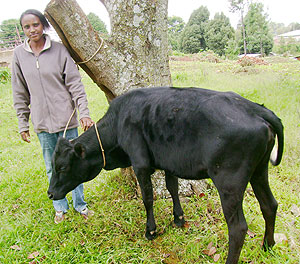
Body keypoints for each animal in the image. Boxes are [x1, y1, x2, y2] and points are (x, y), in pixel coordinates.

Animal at [47, 87, 284, 264]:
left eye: (63, 167)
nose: (50, 193)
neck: (118, 123)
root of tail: (254, 108)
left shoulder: (140, 164)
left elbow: (148, 198)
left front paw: (150, 230)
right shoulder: (170, 162)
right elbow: (172, 188)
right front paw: (178, 218)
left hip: (229, 183)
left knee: (238, 228)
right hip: (259, 170)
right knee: (269, 205)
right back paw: (268, 246)